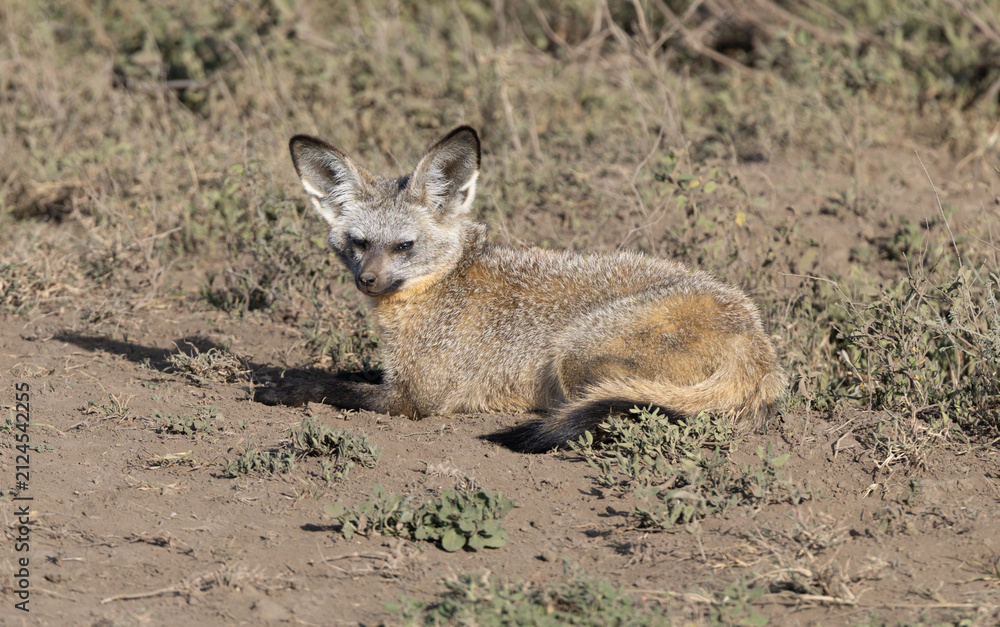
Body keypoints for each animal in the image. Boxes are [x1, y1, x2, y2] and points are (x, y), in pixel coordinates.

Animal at [254, 126, 787, 453]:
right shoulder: (399, 374)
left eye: (404, 246)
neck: (444, 286)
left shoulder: (415, 399)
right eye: (358, 243)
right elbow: (349, 372)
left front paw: (284, 387)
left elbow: (333, 387)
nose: (367, 280)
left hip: (575, 352)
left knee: (611, 414)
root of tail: (757, 343)